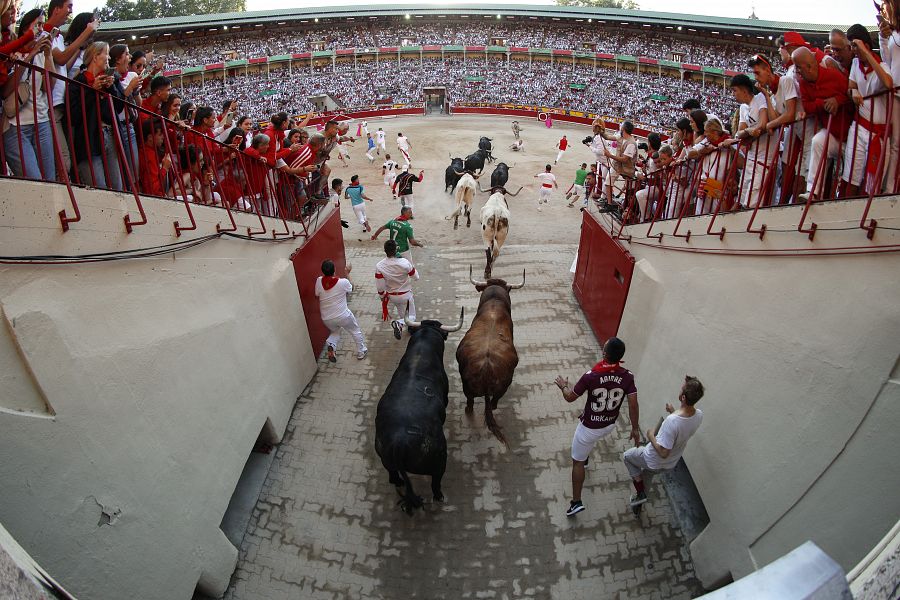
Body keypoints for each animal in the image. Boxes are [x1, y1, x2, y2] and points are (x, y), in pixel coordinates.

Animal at [376, 308, 468, 512]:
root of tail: (398, 444)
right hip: (439, 461)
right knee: (436, 482)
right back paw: (439, 497)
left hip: (386, 460)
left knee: (393, 477)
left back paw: (398, 483)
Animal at [454, 268, 524, 446]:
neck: (494, 302)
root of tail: (486, 367)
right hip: (502, 387)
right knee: (490, 403)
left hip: (469, 387)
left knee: (472, 402)